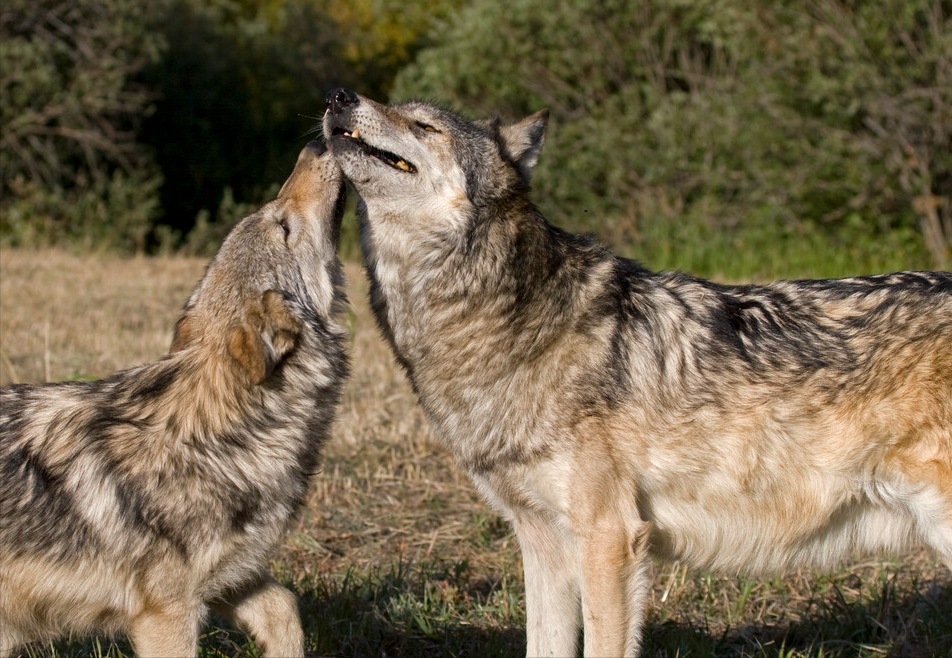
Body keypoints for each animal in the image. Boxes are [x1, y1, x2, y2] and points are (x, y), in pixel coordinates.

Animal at [0, 140, 350, 656]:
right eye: (282, 226)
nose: (317, 143)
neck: (218, 438)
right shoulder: (166, 613)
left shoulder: (231, 577)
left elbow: (286, 609)